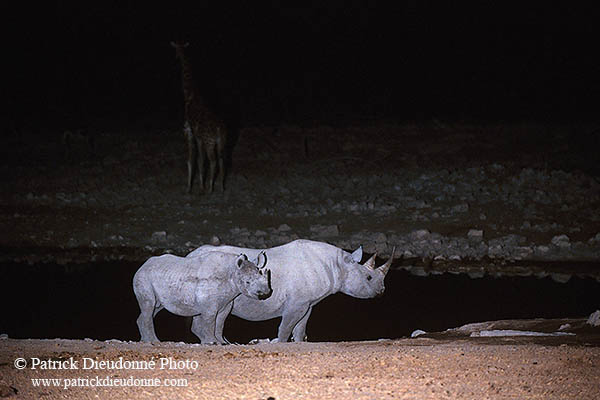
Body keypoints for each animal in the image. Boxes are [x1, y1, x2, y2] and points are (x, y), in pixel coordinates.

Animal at [171, 41, 227, 195]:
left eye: (177, 49)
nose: (176, 57)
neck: (190, 95)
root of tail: (219, 129)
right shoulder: (199, 137)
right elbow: (201, 161)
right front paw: (201, 184)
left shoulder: (190, 132)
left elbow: (192, 160)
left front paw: (191, 187)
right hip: (221, 142)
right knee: (222, 160)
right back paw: (221, 187)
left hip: (210, 142)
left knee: (213, 161)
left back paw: (210, 189)